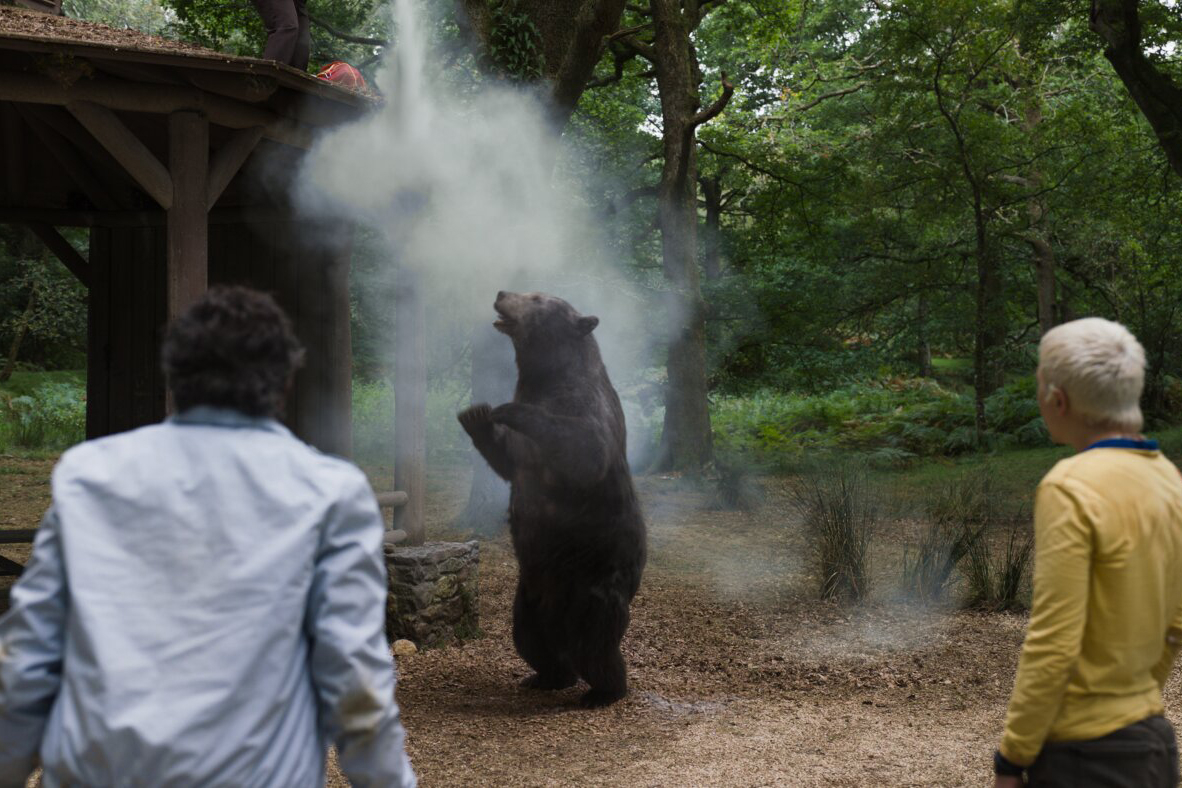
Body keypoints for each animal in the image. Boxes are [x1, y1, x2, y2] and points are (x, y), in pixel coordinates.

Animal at [458, 289, 647, 708]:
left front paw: (505, 409)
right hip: (528, 594)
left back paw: (603, 691)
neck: (547, 376)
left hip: (592, 584)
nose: (501, 293)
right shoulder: (523, 454)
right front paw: (476, 415)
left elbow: (584, 449)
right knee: (530, 639)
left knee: (595, 645)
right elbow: (508, 461)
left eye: (537, 297)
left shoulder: (586, 409)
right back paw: (545, 677)